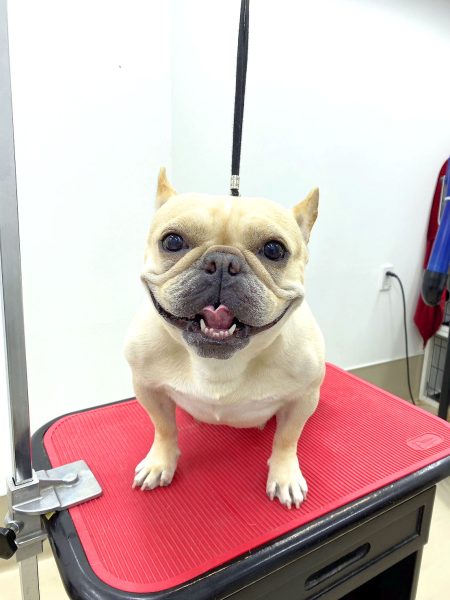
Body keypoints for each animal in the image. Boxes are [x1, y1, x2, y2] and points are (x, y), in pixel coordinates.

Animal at [124, 169, 325, 508]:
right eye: (172, 241)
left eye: (274, 250)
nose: (221, 262)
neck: (219, 364)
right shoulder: (147, 387)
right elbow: (163, 427)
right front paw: (160, 463)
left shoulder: (303, 398)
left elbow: (287, 438)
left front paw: (284, 476)